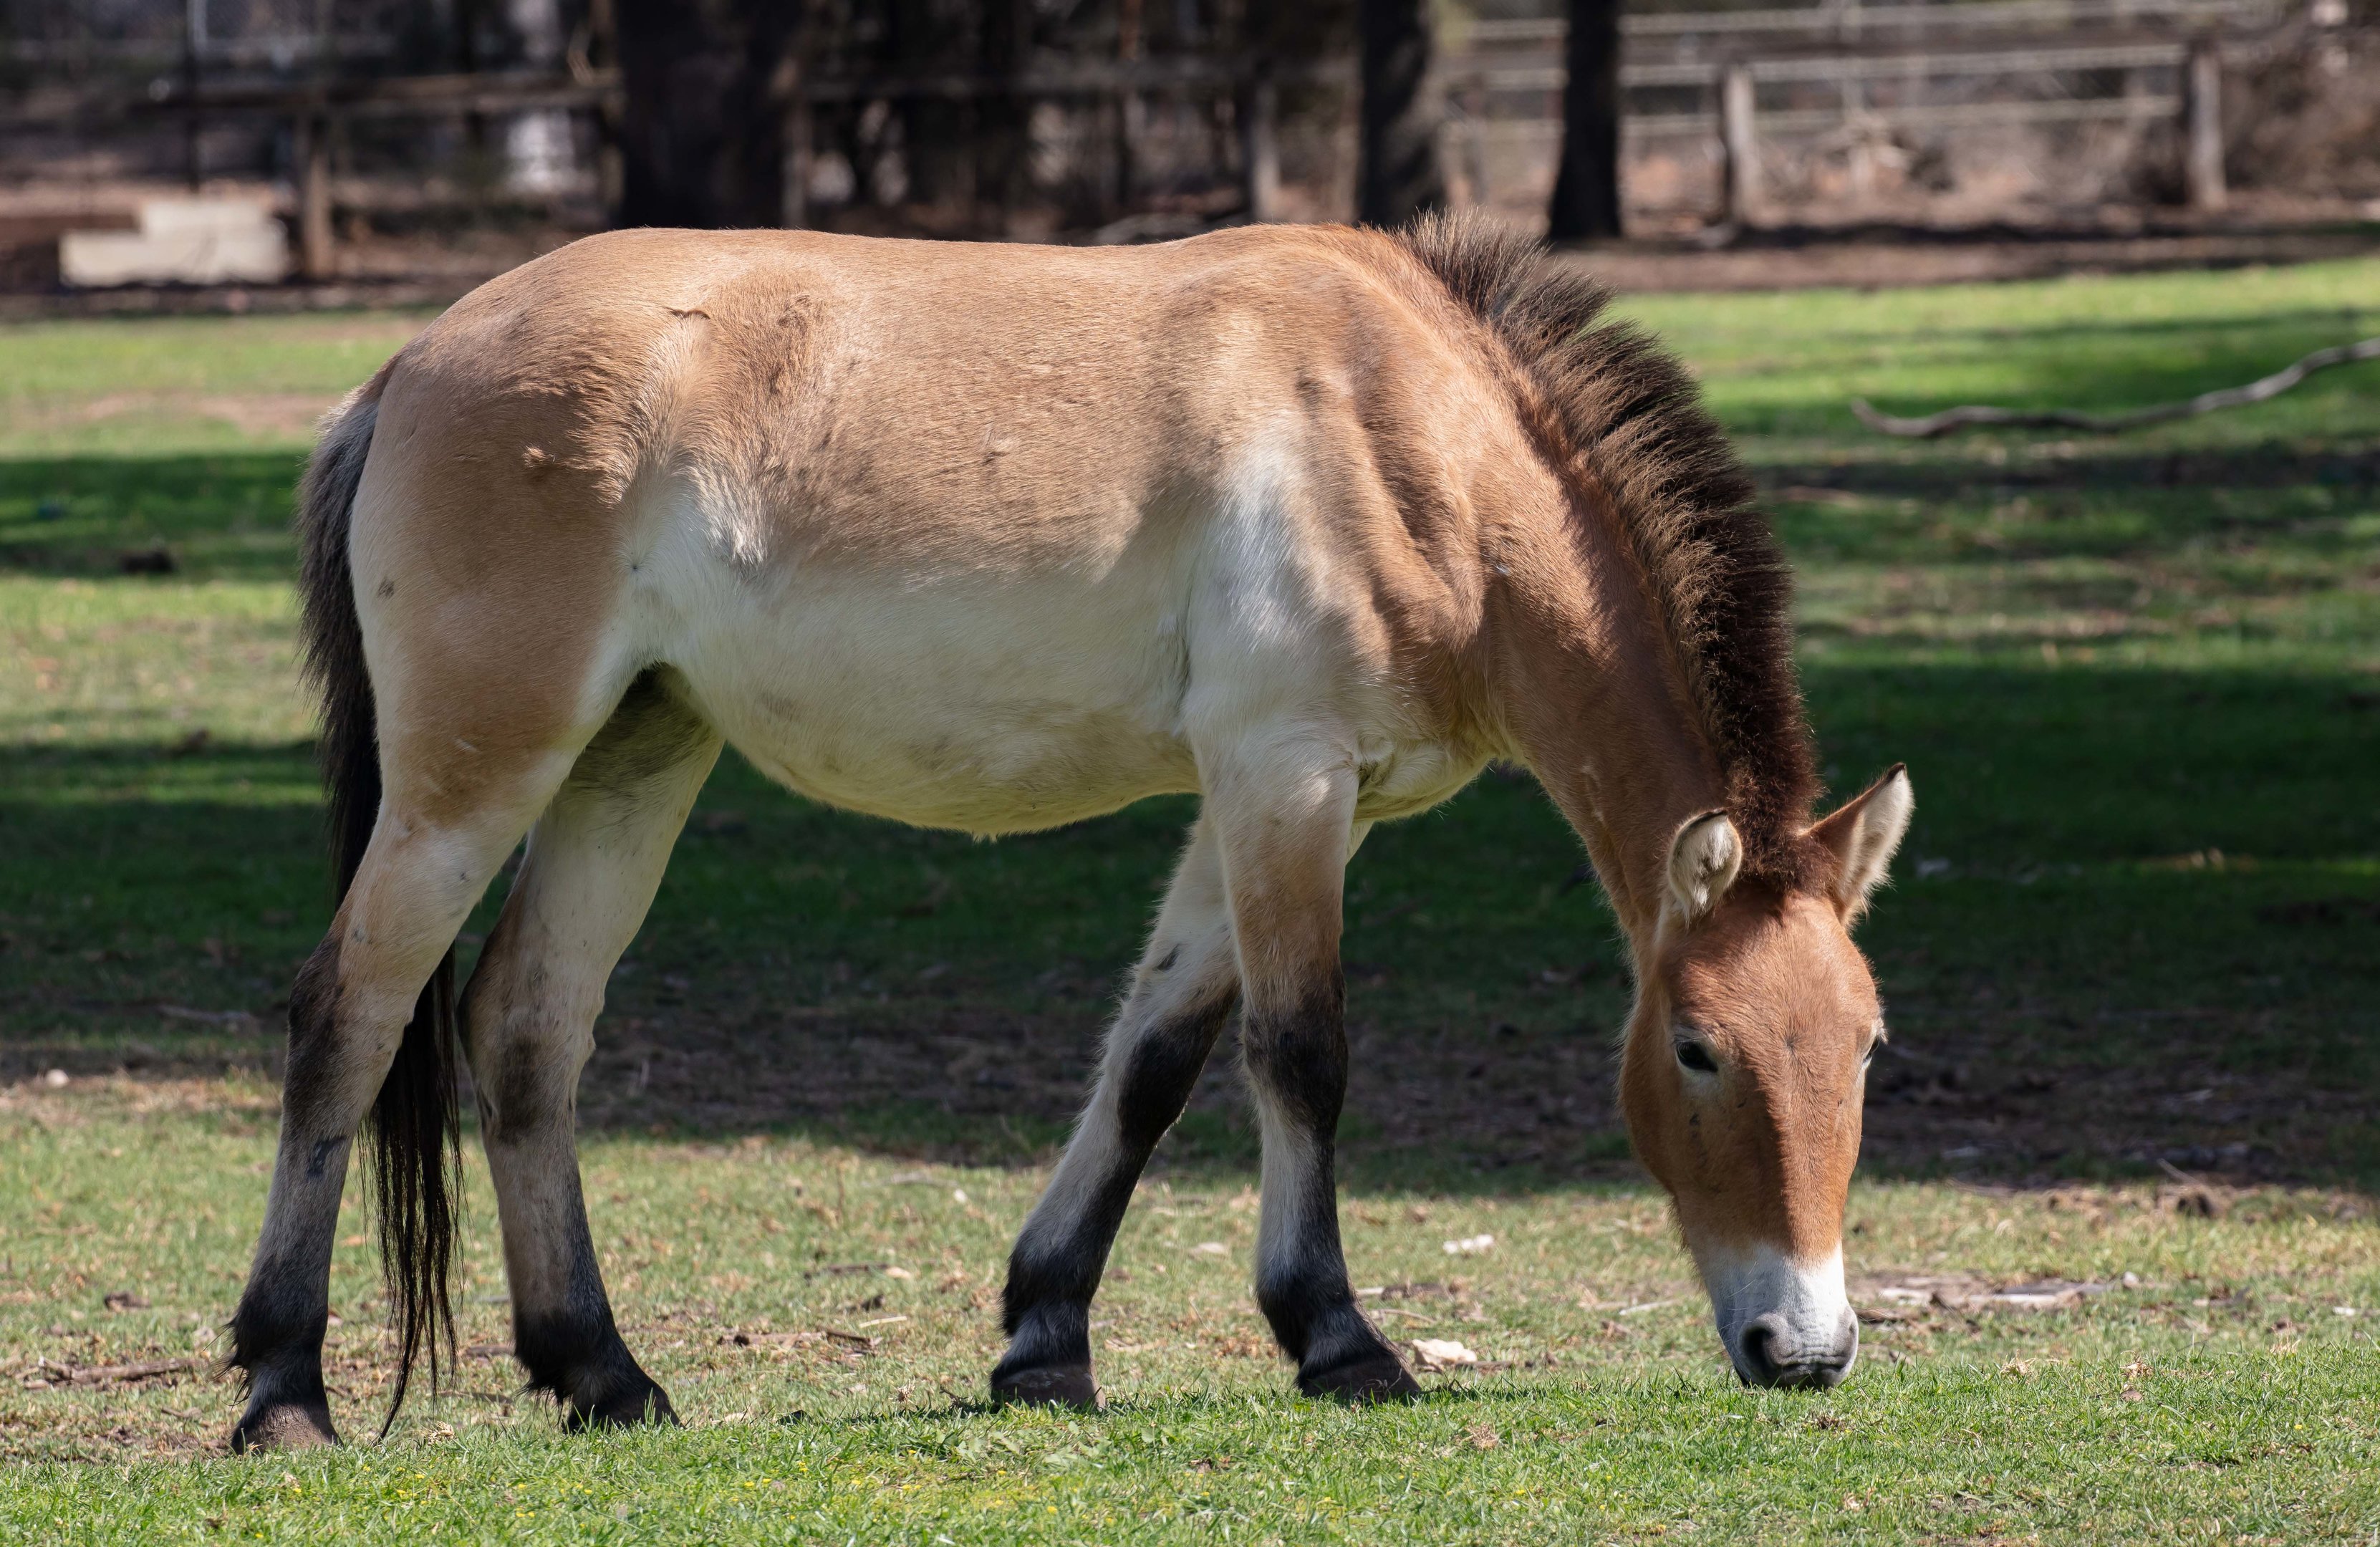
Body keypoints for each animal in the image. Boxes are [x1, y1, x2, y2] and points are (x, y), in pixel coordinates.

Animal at [222, 212, 1912, 1451]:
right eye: (1695, 1048)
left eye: (1863, 1048)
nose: (1805, 1348)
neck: (1405, 435)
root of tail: (407, 367)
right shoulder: (1282, 778)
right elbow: (1299, 1054)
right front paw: (1338, 1342)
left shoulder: (1279, 805)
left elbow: (1154, 1060)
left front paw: (1044, 1340)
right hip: (475, 778)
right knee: (351, 1016)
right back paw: (285, 1391)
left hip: (634, 758)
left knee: (526, 1028)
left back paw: (603, 1375)